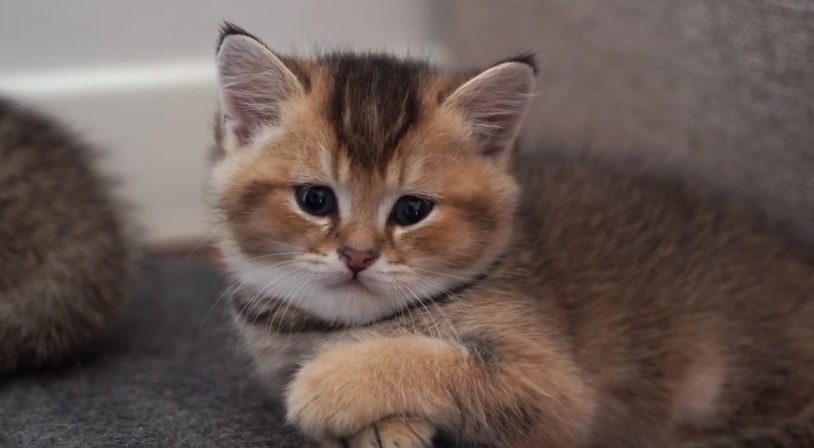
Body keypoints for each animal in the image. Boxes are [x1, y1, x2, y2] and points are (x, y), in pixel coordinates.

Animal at [207, 21, 814, 448]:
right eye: (315, 200)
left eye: (412, 210)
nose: (358, 256)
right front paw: (378, 423)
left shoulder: (557, 388)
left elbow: (436, 361)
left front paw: (328, 383)